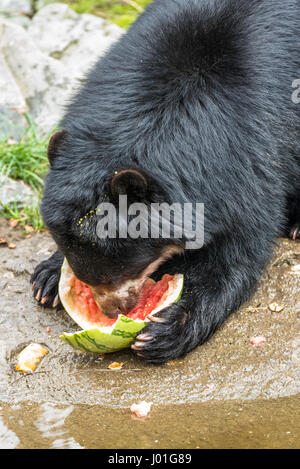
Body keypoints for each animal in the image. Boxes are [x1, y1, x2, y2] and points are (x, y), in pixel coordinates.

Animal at [31, 0, 300, 362]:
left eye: (125, 266)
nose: (113, 311)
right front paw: (48, 278)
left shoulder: (250, 160)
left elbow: (234, 256)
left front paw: (163, 331)